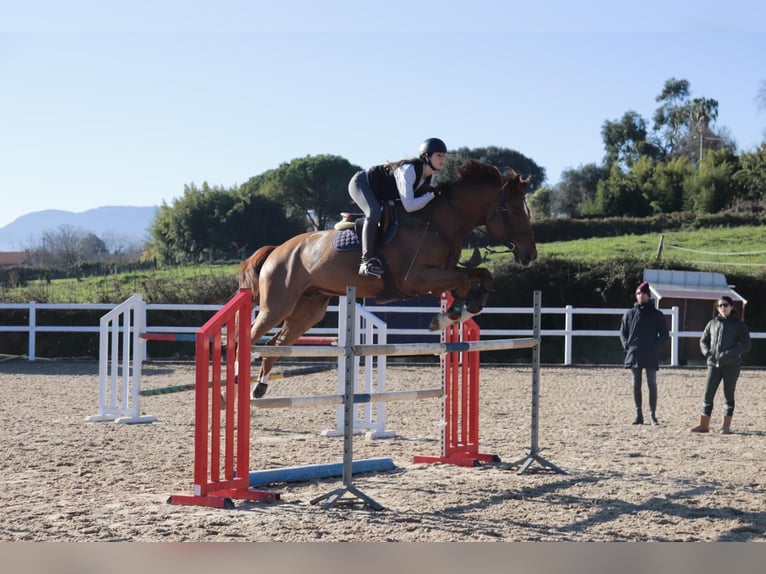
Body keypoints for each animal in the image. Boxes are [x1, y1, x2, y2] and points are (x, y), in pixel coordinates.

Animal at [239, 160, 537, 398]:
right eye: (514, 210)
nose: (530, 255)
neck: (438, 223)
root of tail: (278, 249)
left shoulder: (438, 276)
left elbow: (481, 276)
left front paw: (463, 310)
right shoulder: (417, 279)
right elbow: (463, 282)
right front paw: (448, 316)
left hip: (308, 310)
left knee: (277, 344)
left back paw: (260, 387)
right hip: (277, 306)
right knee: (250, 336)